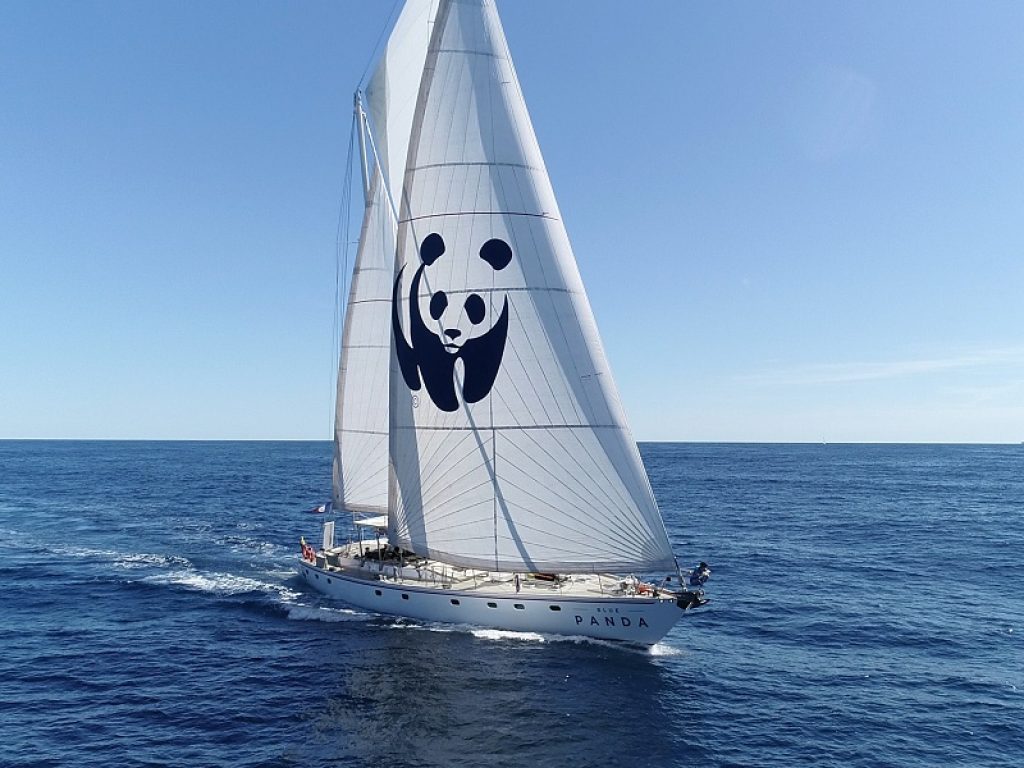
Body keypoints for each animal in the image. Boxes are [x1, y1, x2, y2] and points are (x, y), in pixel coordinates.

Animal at [392, 231, 513, 412]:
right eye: (438, 301)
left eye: (474, 304)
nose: (452, 332)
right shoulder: (422, 328)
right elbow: (436, 369)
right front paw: (449, 402)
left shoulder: (496, 328)